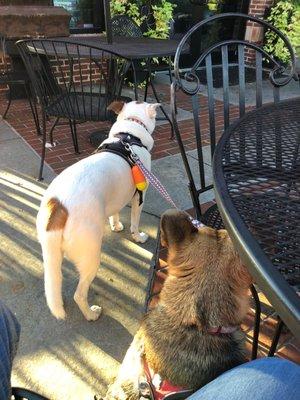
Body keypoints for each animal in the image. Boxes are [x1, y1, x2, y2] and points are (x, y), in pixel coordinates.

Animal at [36, 101, 159, 322]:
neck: (128, 136)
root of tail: (59, 205)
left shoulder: (116, 197)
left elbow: (115, 213)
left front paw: (116, 226)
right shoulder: (139, 196)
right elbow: (135, 222)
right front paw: (138, 236)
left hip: (51, 252)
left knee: (54, 281)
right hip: (91, 255)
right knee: (79, 294)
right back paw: (91, 314)